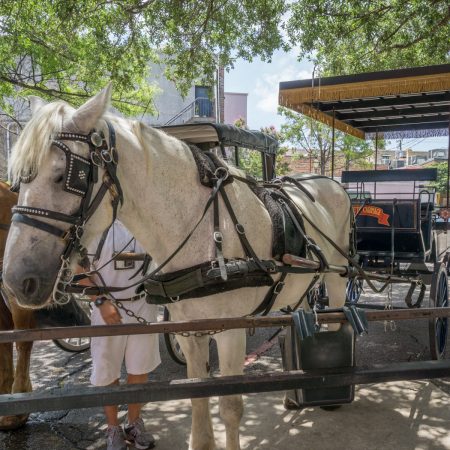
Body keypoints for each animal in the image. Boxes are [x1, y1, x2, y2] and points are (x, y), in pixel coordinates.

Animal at [2, 85, 352, 450]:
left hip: (338, 276)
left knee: (335, 318)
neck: (205, 226)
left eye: (66, 176)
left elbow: (230, 406)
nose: (16, 280)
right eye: (17, 182)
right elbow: (198, 396)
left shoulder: (231, 331)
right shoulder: (188, 329)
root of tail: (330, 183)